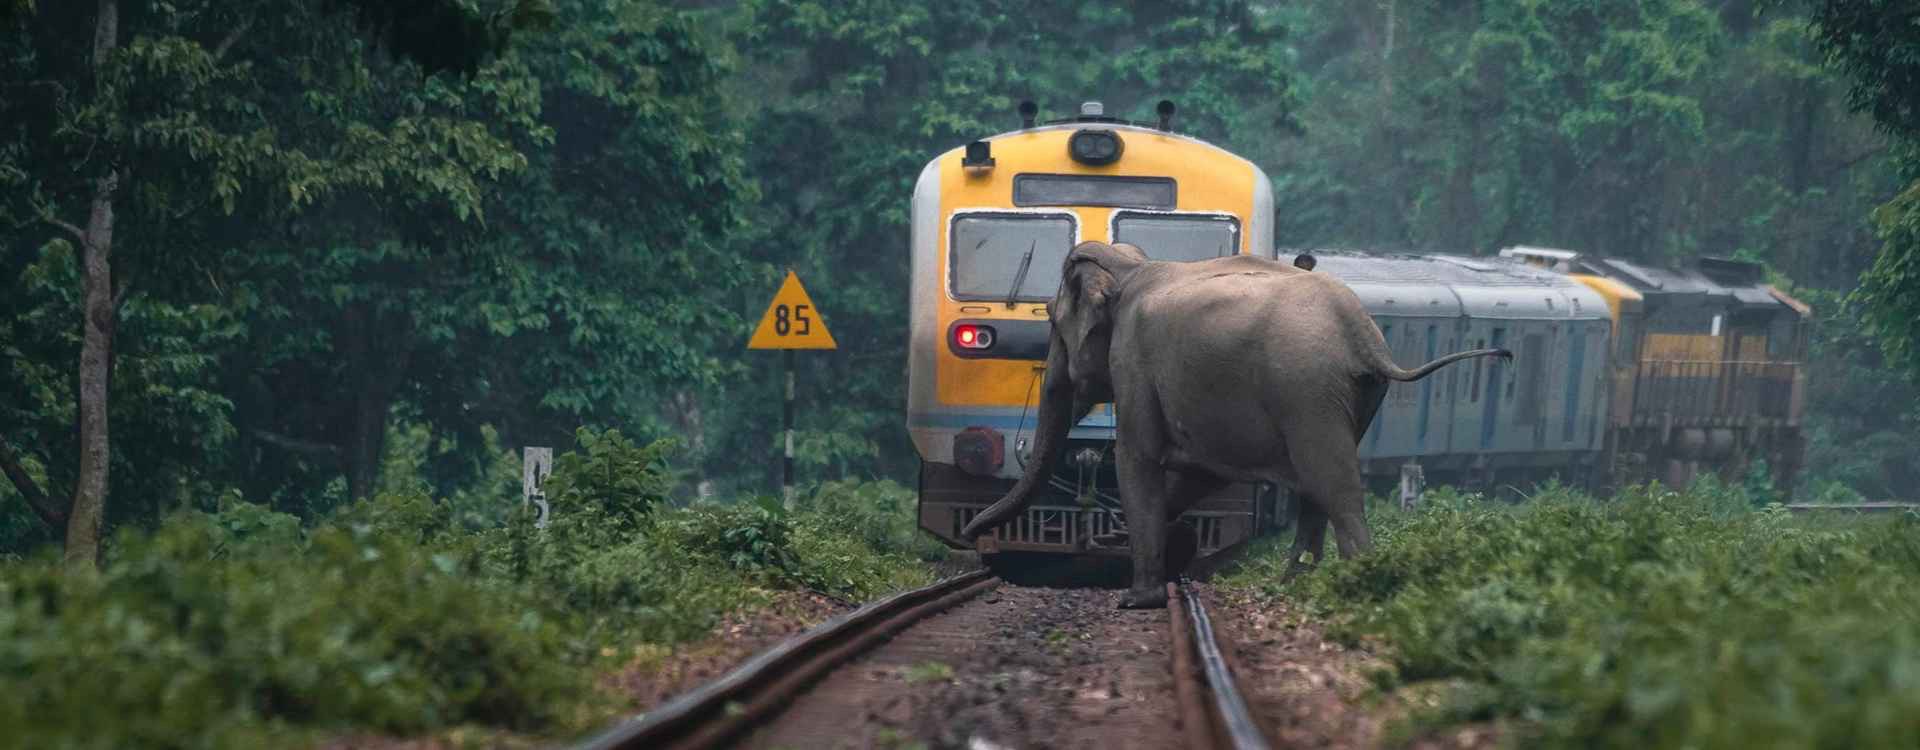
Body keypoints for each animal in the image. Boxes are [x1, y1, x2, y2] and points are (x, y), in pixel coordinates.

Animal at [958, 241, 1511, 608]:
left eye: (1053, 320)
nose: (970, 533)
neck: (1132, 267)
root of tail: (1363, 334)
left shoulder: (1134, 360)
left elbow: (1138, 459)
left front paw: (1137, 599)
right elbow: (1198, 473)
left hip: (1307, 388)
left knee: (1333, 485)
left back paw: (1354, 586)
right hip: (1358, 394)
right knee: (1318, 487)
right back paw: (1293, 584)